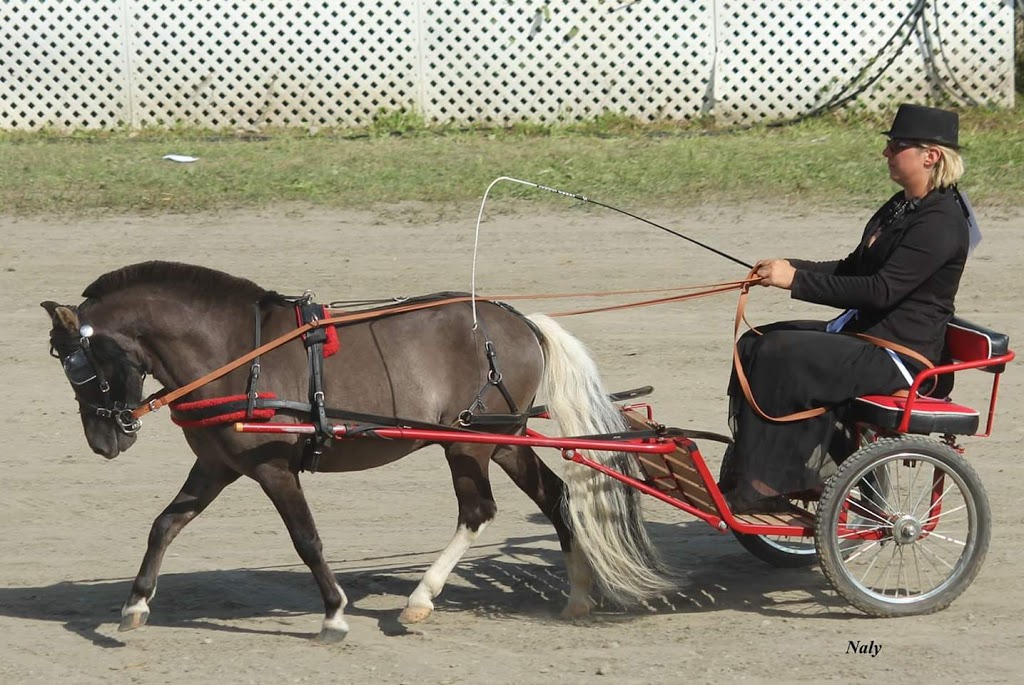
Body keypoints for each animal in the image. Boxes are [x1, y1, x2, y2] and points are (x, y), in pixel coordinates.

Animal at [44, 262, 671, 643]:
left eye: (83, 367)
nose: (105, 441)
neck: (237, 352)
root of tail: (517, 319)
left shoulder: (274, 468)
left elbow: (307, 540)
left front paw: (334, 614)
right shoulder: (218, 465)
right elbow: (165, 525)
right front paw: (135, 605)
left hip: (466, 442)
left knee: (478, 511)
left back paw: (420, 599)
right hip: (502, 440)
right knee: (557, 497)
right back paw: (578, 594)